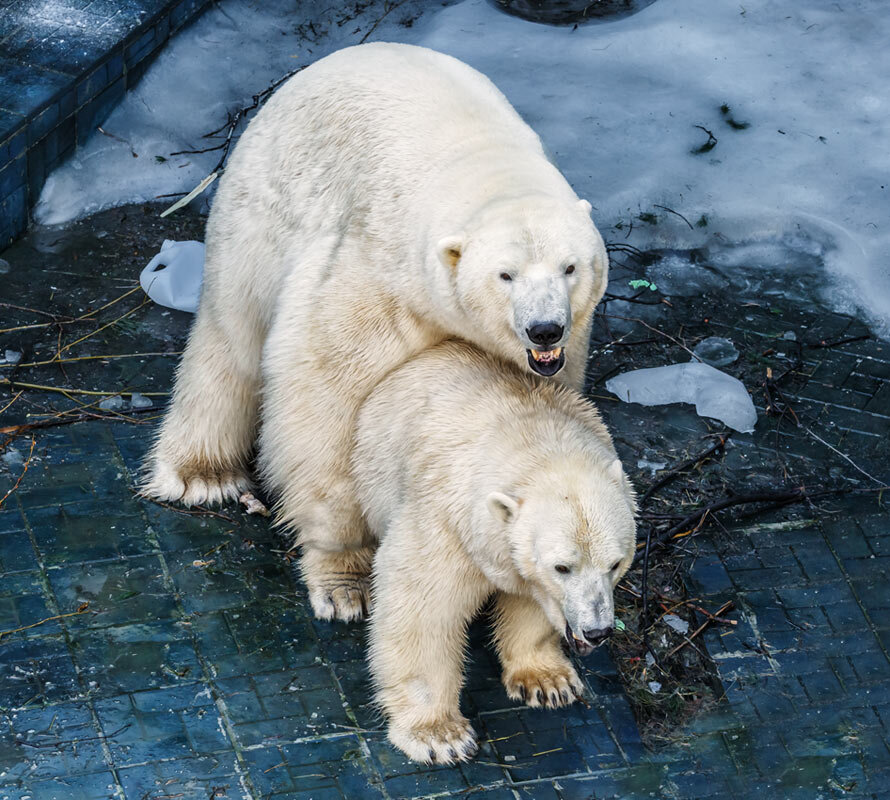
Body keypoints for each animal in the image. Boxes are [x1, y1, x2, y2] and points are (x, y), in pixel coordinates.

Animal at [142, 42, 612, 620]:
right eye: (505, 274)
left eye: (571, 267)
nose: (544, 330)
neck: (483, 164)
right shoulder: (377, 271)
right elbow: (322, 400)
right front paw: (343, 582)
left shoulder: (570, 337)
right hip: (262, 208)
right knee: (234, 333)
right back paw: (202, 474)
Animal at [350, 340, 636, 764]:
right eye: (562, 567)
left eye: (615, 564)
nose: (597, 631)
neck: (530, 432)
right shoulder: (450, 523)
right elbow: (422, 604)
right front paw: (439, 735)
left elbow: (532, 602)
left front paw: (547, 681)